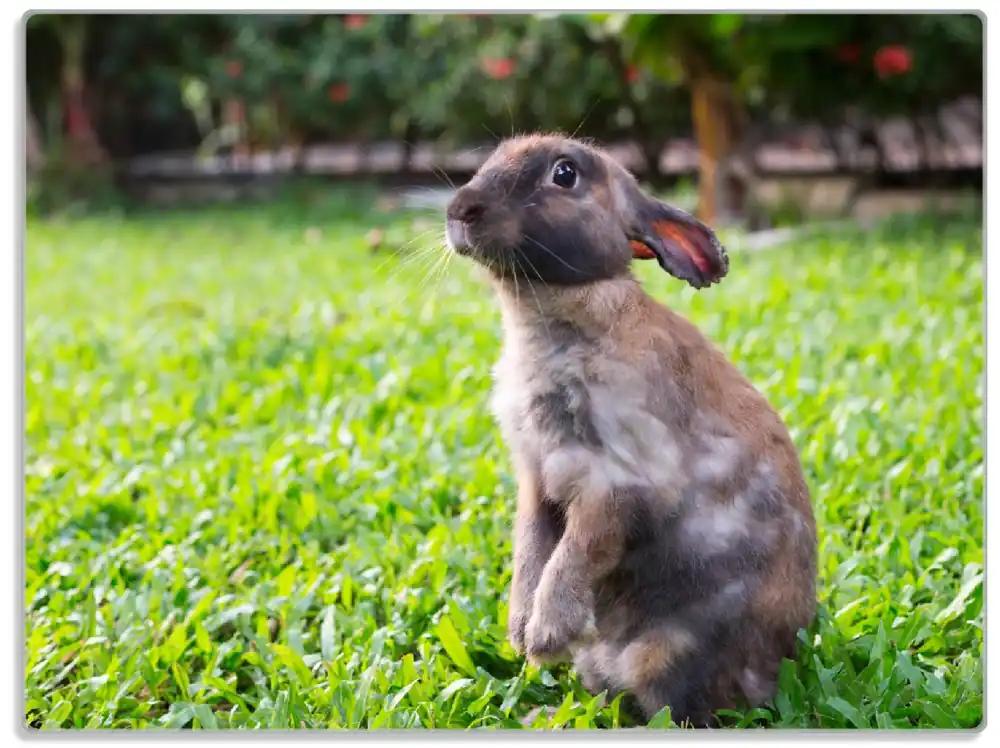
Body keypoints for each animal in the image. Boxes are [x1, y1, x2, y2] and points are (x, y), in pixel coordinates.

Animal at [443, 134, 817, 727]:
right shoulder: (537, 481)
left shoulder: (615, 482)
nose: (459, 210)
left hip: (666, 654)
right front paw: (520, 630)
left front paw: (544, 636)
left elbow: (578, 549)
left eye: (565, 174)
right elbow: (531, 548)